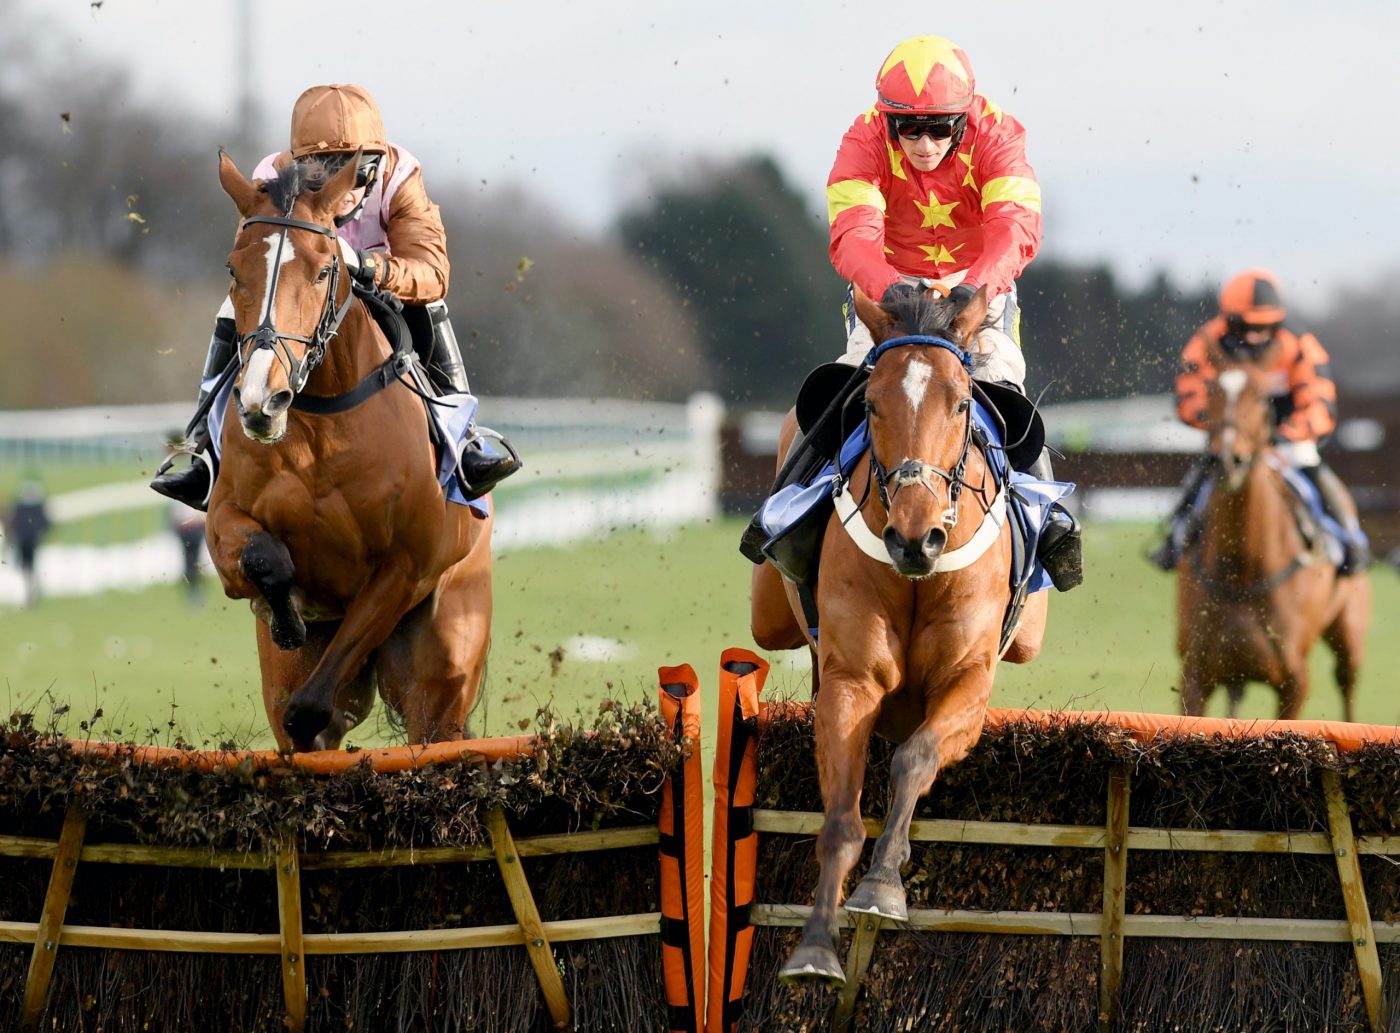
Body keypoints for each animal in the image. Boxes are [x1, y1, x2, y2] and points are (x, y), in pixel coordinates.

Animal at [204, 151, 492, 750]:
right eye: (234, 270)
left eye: (322, 269)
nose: (262, 399)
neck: (322, 430)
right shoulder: (226, 523)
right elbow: (263, 558)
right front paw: (286, 613)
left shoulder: (402, 570)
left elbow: (311, 707)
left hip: (442, 670)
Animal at [1176, 361, 1372, 716]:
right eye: (1209, 393)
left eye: (1260, 397)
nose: (1227, 459)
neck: (1241, 569)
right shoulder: (1195, 674)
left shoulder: (1294, 681)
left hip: (1349, 633)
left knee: (1347, 686)